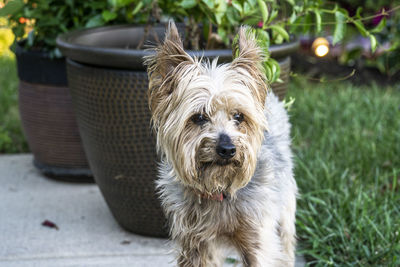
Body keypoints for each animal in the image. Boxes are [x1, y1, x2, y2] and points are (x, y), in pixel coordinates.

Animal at [144, 22, 296, 266]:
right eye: (198, 117)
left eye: (239, 116)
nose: (227, 149)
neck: (218, 189)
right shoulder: (194, 244)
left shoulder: (258, 239)